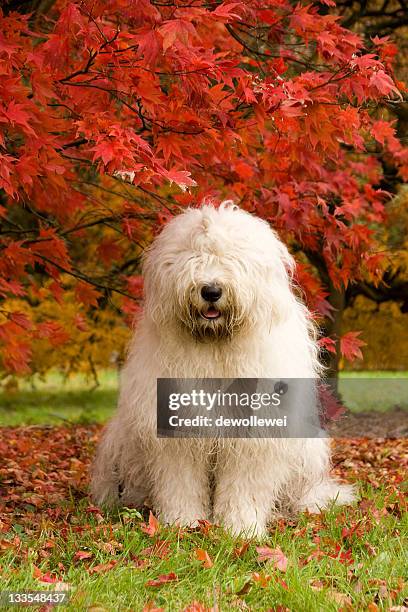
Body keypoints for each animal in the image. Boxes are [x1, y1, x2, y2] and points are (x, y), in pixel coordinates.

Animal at [91, 202, 354, 536]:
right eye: (193, 256)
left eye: (233, 258)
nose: (211, 291)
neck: (216, 346)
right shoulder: (176, 429)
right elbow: (180, 481)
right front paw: (182, 522)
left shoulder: (256, 433)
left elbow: (245, 486)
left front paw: (241, 528)